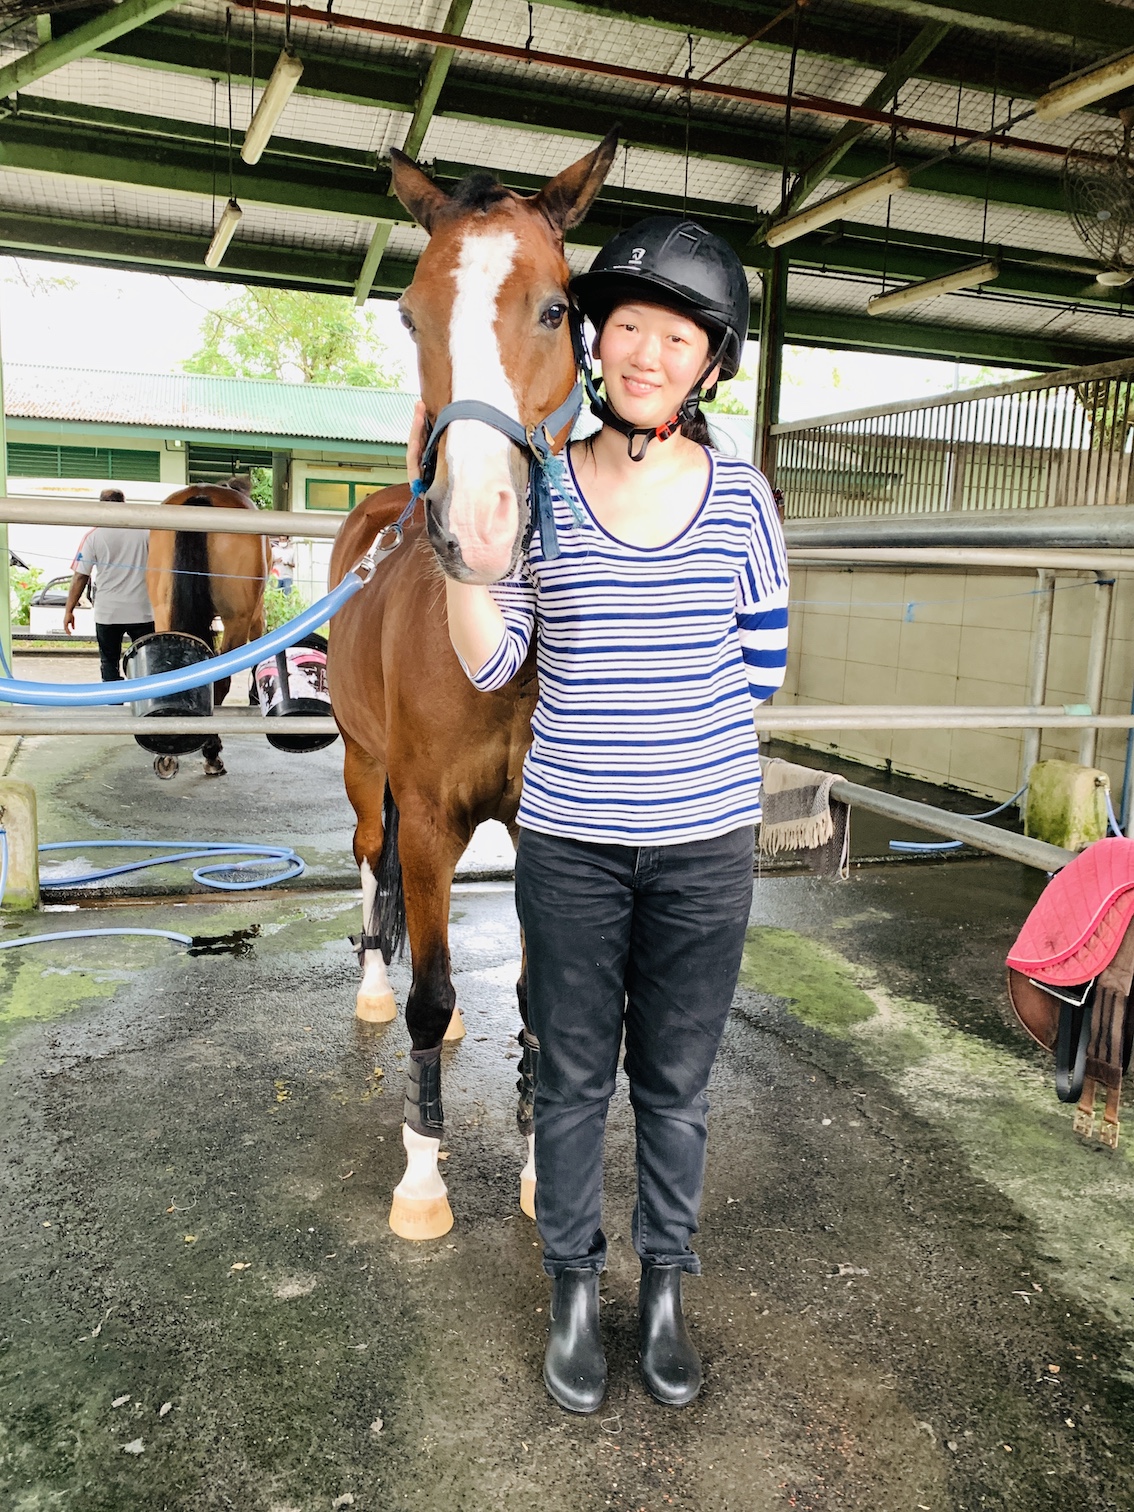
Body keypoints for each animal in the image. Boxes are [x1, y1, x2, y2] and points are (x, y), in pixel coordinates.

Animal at [146, 477, 270, 774]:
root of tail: (201, 497)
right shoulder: (254, 616)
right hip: (235, 619)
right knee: (220, 679)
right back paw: (211, 752)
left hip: (164, 610)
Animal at [323, 130, 616, 1239]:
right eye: (409, 313)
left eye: (558, 307)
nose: (478, 526)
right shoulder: (432, 818)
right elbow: (433, 995)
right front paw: (422, 1176)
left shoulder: (546, 835)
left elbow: (543, 1004)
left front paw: (544, 1173)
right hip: (366, 770)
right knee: (371, 864)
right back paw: (375, 987)